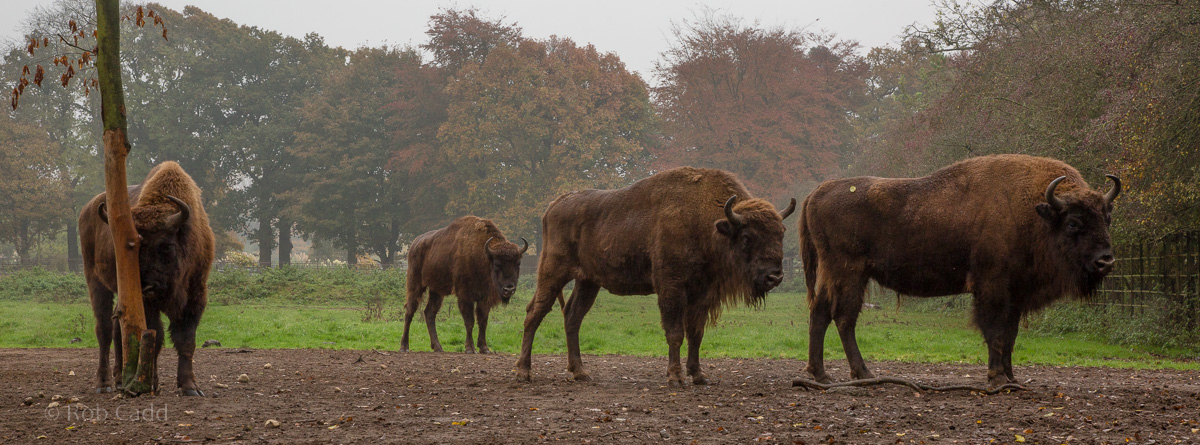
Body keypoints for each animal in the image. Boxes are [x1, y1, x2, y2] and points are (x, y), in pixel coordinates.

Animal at [80, 161, 215, 396]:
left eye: (167, 246)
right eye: (132, 247)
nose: (147, 286)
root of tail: (87, 209)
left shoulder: (196, 297)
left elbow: (186, 340)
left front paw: (190, 387)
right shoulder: (147, 304)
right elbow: (155, 337)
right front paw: (151, 383)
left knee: (117, 330)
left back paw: (119, 379)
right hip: (96, 282)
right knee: (104, 330)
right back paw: (103, 384)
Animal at [401, 216, 528, 353]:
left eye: (518, 263)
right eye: (497, 264)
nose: (509, 289)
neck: (483, 255)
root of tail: (415, 243)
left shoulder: (485, 299)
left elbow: (483, 321)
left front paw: (484, 348)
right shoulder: (465, 296)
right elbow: (469, 321)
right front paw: (470, 348)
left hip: (436, 291)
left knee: (429, 313)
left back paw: (438, 347)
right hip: (415, 284)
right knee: (410, 311)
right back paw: (404, 346)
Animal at [515, 167, 796, 385]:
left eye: (780, 233)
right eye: (747, 238)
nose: (775, 277)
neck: (706, 222)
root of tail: (554, 206)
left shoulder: (701, 293)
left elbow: (696, 333)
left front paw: (699, 375)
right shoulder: (671, 287)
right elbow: (675, 332)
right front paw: (675, 377)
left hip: (588, 281)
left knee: (573, 316)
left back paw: (581, 372)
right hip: (553, 271)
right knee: (535, 312)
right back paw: (524, 372)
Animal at [799, 154, 1120, 388]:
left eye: (1107, 218)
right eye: (1074, 223)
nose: (1105, 261)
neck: (1034, 211)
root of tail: (818, 191)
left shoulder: (1015, 293)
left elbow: (1010, 335)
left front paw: (1012, 378)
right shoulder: (991, 286)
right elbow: (995, 332)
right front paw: (997, 379)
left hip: (836, 273)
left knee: (820, 313)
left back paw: (821, 375)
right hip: (849, 272)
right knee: (843, 318)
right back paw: (862, 374)